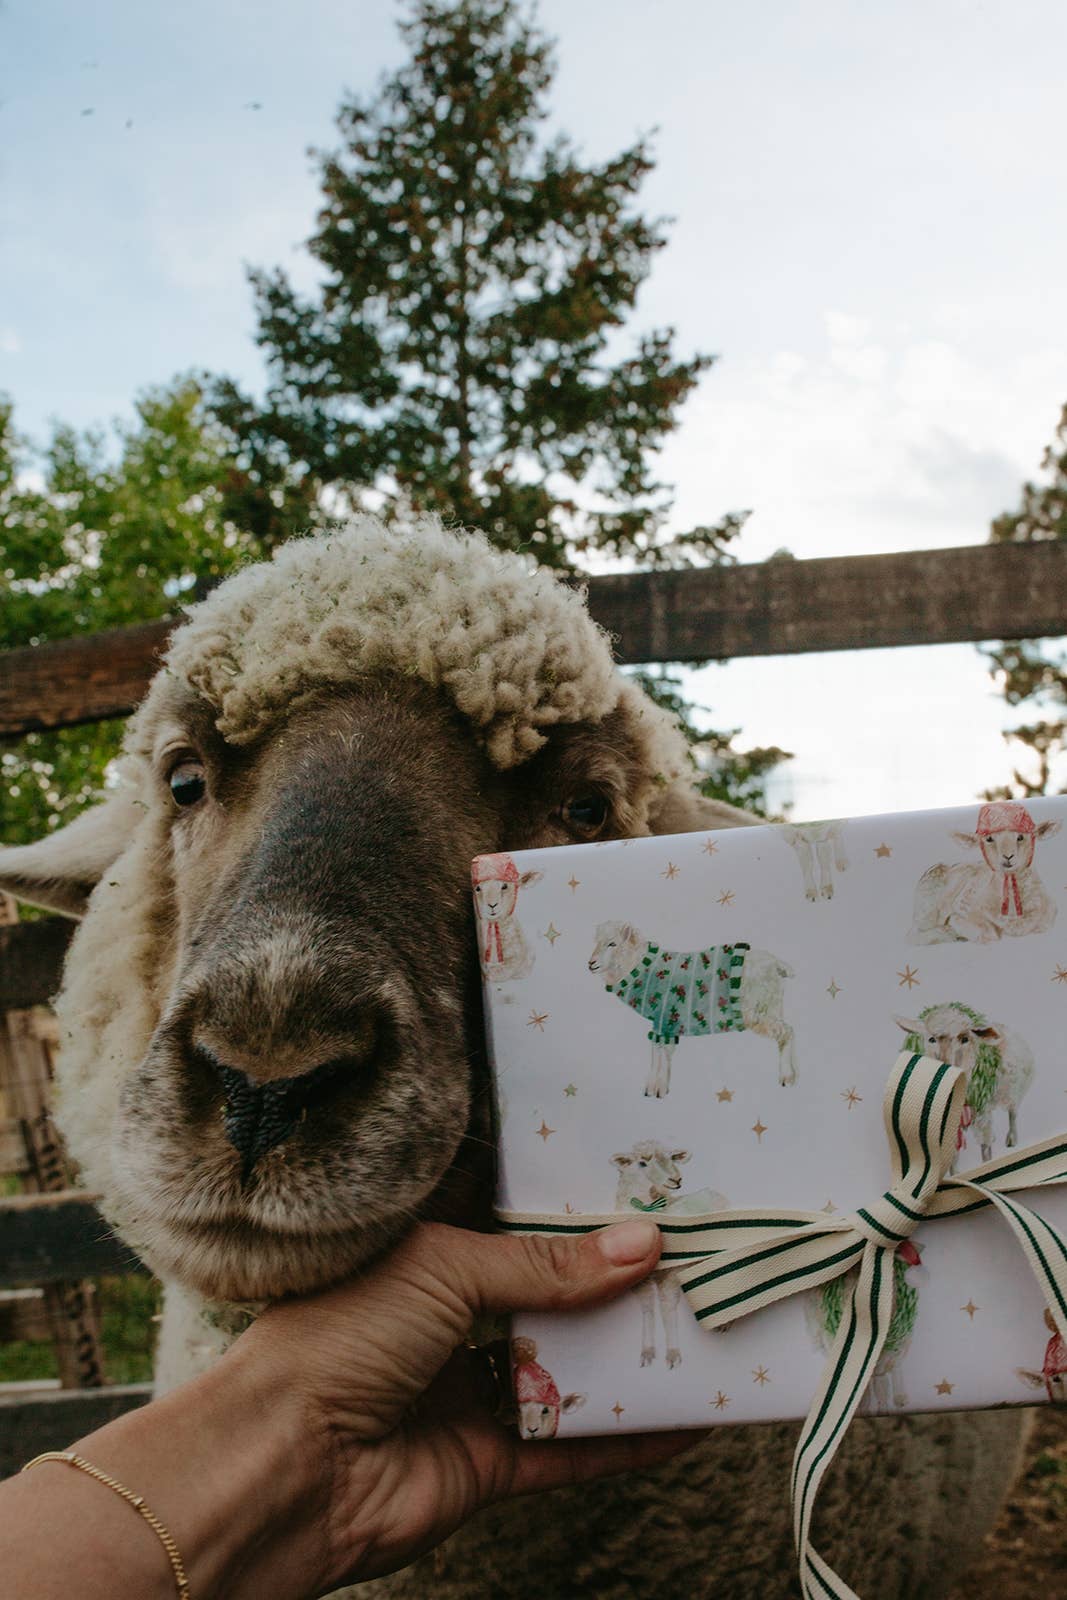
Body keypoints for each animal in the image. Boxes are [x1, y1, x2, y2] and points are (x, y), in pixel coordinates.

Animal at [588, 920, 797, 1096]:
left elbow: (662, 1055)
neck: (640, 968)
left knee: (787, 1031)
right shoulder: (662, 1024)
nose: (591, 964)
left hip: (756, 1012)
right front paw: (653, 1089)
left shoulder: (665, 1021)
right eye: (597, 942)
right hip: (773, 1006)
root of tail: (778, 964)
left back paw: (787, 1077)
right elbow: (657, 1053)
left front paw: (658, 1090)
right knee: (785, 1032)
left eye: (612, 944)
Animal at [611, 1140, 727, 1370]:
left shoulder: (671, 1275)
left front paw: (673, 1354)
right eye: (642, 1163)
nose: (677, 1179)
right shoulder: (642, 1280)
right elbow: (648, 1308)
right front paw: (647, 1352)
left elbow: (667, 1309)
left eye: (672, 1158)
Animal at [894, 1002, 1035, 1167]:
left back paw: (1012, 1139)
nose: (946, 1068)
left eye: (965, 1039)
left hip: (1014, 1091)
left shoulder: (982, 1112)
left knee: (1012, 1113)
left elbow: (986, 1148)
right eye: (931, 1039)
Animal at [908, 800, 1061, 945]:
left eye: (1021, 837)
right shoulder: (961, 912)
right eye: (989, 839)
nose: (1008, 856)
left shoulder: (1048, 916)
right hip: (926, 909)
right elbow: (988, 933)